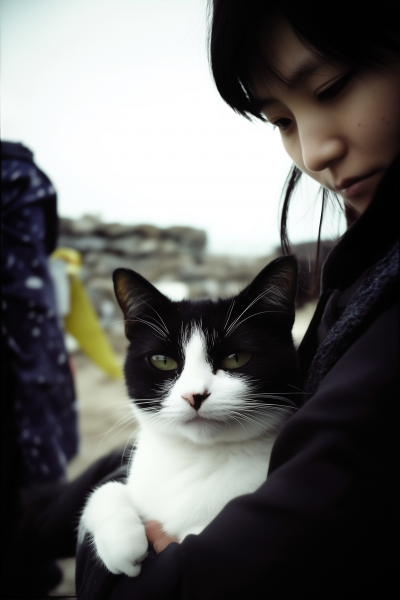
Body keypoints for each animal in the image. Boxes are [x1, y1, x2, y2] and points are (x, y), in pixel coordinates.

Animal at [78, 254, 300, 576]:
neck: (197, 456)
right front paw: (122, 544)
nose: (195, 395)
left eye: (236, 358)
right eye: (162, 361)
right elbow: (105, 489)